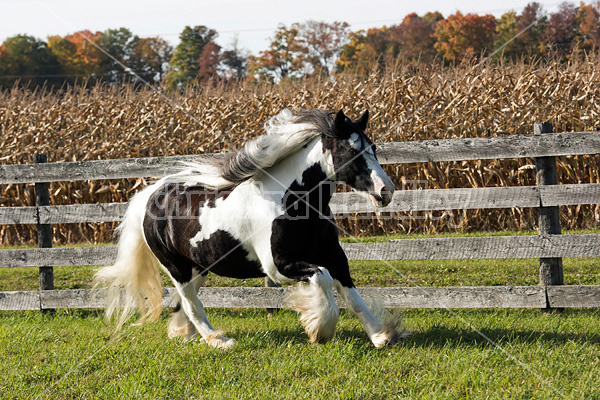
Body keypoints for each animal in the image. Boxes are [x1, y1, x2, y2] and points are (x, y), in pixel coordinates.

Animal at [94, 108, 404, 348]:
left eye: (373, 148)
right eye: (351, 150)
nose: (386, 190)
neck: (292, 202)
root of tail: (150, 196)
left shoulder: (334, 257)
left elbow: (352, 296)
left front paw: (381, 336)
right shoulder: (278, 266)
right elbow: (323, 278)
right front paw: (321, 330)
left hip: (198, 267)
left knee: (184, 301)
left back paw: (185, 334)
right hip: (176, 267)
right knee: (192, 304)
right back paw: (218, 341)